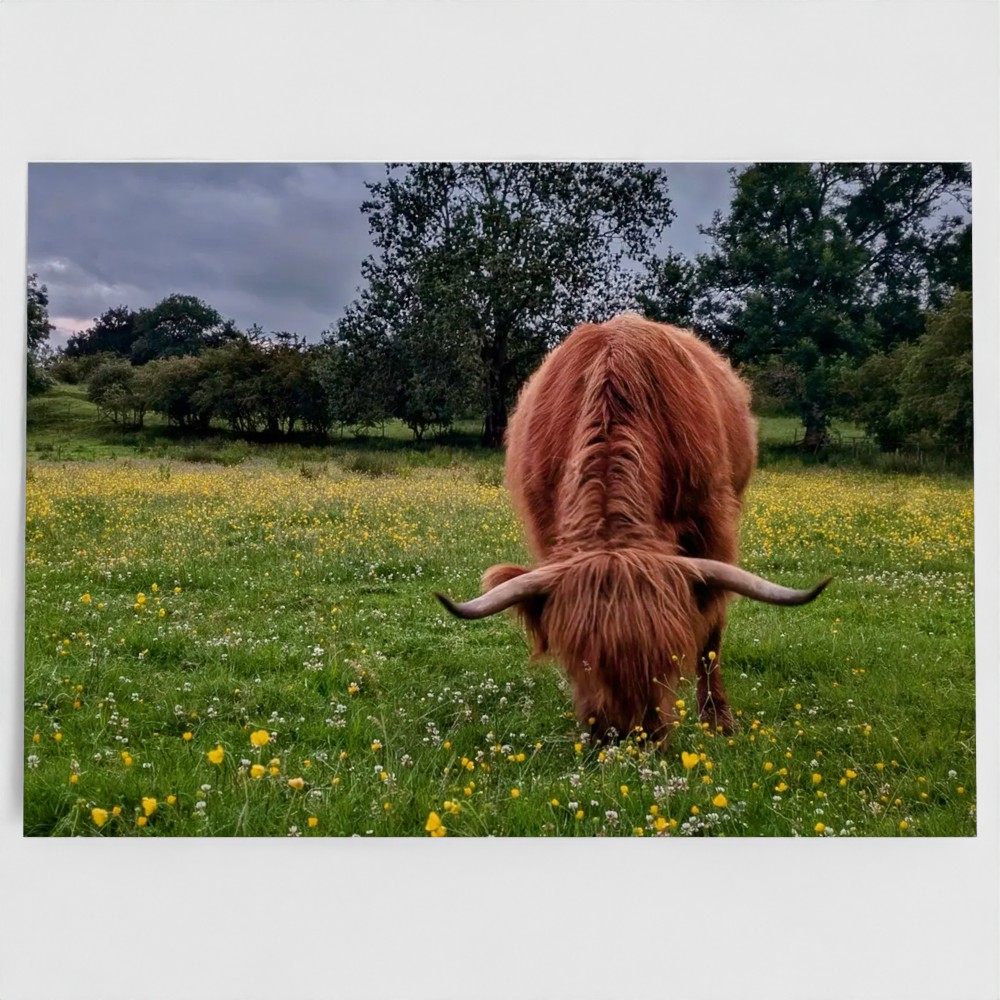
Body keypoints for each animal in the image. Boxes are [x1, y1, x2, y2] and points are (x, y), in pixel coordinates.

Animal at [436, 313, 829, 743]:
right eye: (581, 659)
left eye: (666, 656)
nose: (627, 735)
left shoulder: (712, 530)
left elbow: (709, 636)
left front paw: (717, 720)